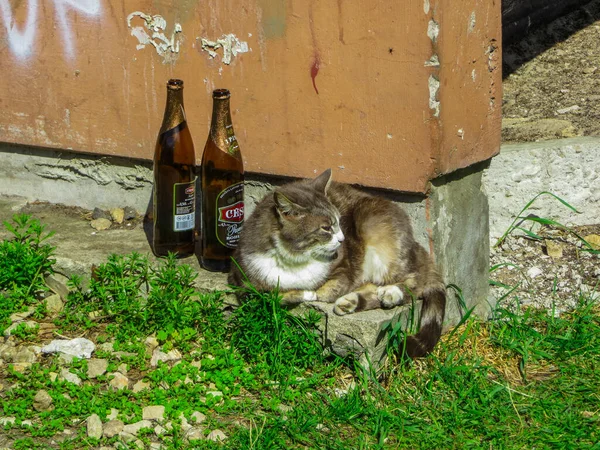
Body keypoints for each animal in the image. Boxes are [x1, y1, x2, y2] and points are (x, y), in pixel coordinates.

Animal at [229, 169, 446, 358]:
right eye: (326, 228)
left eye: (340, 222)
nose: (342, 239)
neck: (294, 258)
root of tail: (418, 246)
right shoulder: (241, 277)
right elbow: (264, 296)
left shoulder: (345, 267)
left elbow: (324, 291)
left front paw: (306, 293)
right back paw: (352, 302)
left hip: (377, 229)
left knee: (414, 281)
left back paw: (389, 293)